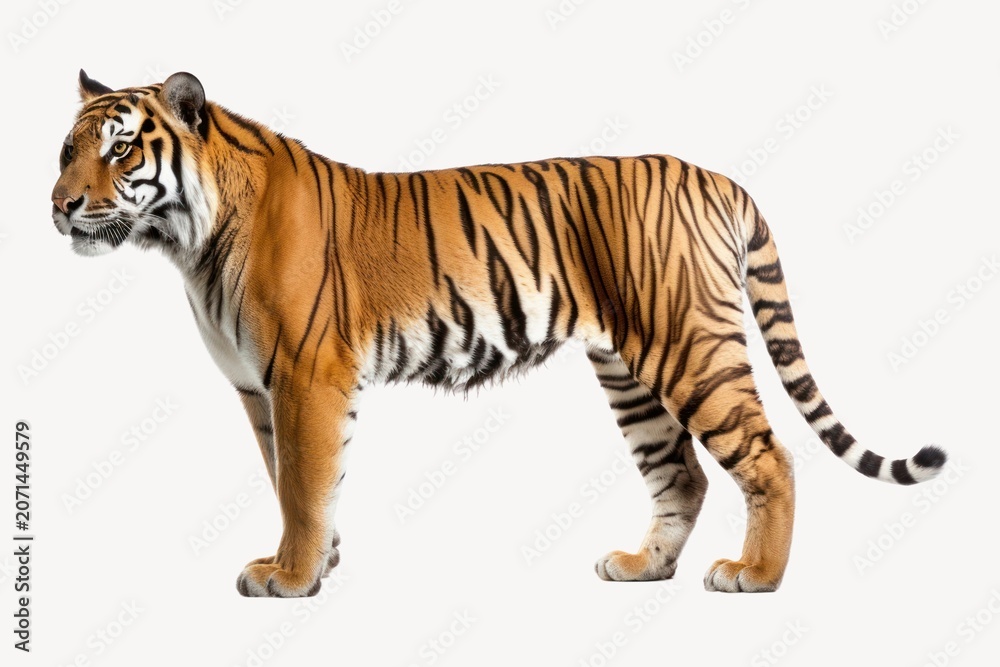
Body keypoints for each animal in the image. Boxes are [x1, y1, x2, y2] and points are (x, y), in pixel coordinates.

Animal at [51, 70, 948, 597]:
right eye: (66, 149)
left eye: (121, 149)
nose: (60, 205)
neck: (186, 240)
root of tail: (715, 175)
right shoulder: (258, 387)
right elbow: (290, 481)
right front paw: (310, 561)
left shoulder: (306, 375)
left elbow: (304, 484)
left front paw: (295, 577)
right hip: (629, 371)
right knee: (682, 475)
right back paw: (642, 567)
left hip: (691, 345)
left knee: (768, 456)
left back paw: (755, 575)